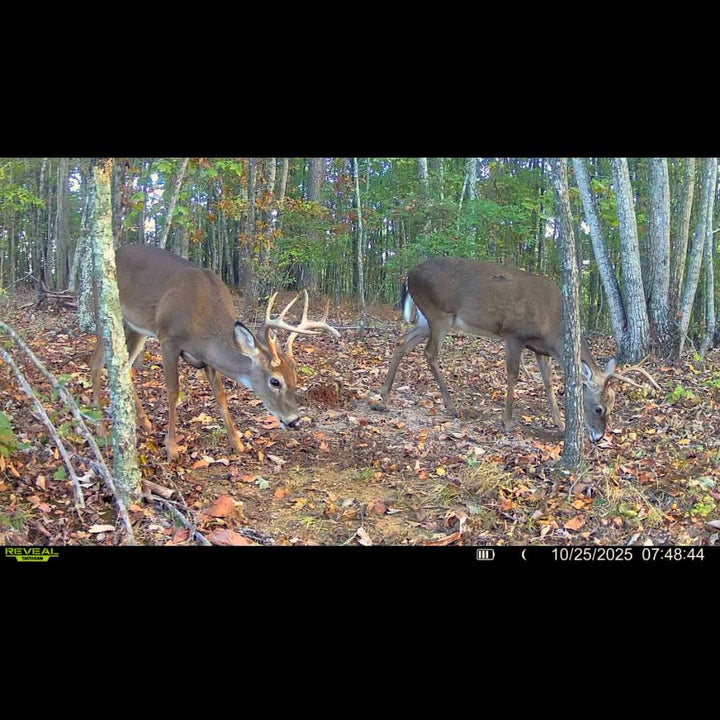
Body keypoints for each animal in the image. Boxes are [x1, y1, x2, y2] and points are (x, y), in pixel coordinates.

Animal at [90, 244, 340, 460]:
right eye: (275, 381)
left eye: (295, 377)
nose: (294, 420)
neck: (203, 323)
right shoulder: (168, 338)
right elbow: (173, 391)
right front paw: (172, 448)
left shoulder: (207, 359)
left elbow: (220, 394)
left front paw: (237, 443)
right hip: (104, 311)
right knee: (96, 362)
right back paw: (102, 429)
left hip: (136, 327)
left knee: (126, 368)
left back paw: (145, 422)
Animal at [380, 257, 658, 443]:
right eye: (599, 407)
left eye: (613, 404)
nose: (599, 437)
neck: (555, 327)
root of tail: (409, 275)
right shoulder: (515, 334)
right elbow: (513, 375)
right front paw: (508, 421)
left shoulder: (542, 350)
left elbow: (548, 383)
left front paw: (559, 423)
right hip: (439, 314)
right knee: (430, 353)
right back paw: (450, 405)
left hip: (425, 319)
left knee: (401, 343)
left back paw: (385, 396)